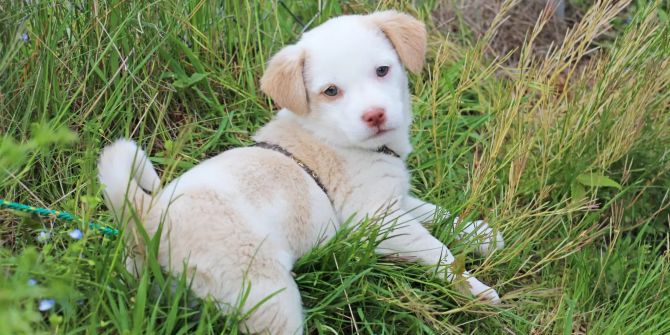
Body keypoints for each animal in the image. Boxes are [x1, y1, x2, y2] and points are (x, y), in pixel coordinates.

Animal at [98, 10, 504, 335]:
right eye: (331, 91)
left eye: (382, 70)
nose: (375, 115)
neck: (336, 138)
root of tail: (147, 216)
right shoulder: (377, 219)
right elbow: (436, 248)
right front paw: (474, 289)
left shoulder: (394, 199)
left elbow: (439, 215)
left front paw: (482, 235)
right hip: (268, 295)